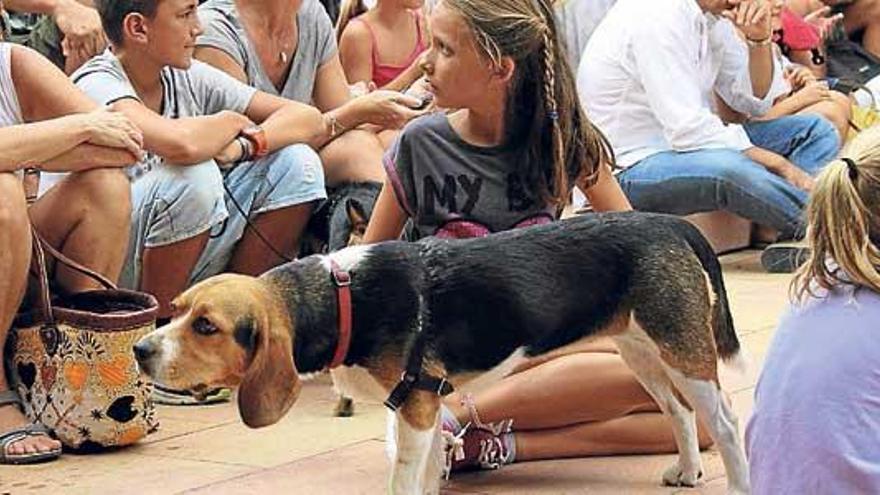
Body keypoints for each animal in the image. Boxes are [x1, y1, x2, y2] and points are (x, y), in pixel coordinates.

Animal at [136, 213, 748, 495]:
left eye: (207, 326)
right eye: (178, 308)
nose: (140, 348)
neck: (342, 296)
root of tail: (668, 222)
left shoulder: (415, 408)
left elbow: (403, 481)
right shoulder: (423, 405)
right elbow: (430, 473)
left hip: (682, 351)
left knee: (725, 421)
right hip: (641, 352)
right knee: (679, 411)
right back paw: (688, 470)